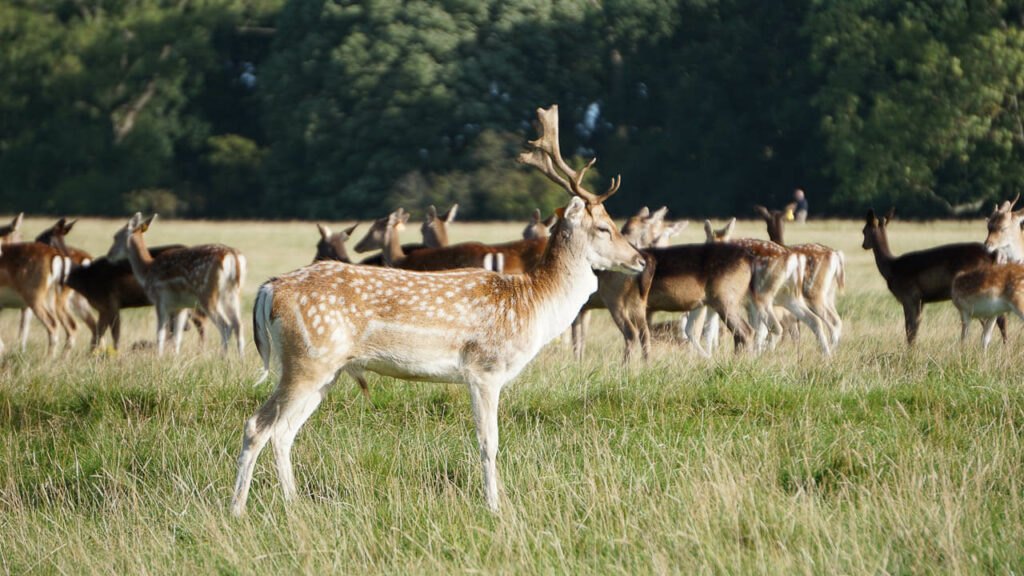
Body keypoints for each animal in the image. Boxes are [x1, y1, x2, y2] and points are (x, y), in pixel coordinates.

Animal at [106, 211, 245, 354]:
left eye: (115, 236)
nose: (109, 254)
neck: (147, 271)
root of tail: (233, 256)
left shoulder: (160, 299)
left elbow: (160, 334)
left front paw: (159, 356)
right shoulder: (181, 306)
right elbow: (177, 337)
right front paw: (174, 356)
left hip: (207, 293)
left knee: (225, 325)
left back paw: (223, 356)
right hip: (233, 293)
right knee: (238, 324)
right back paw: (240, 358)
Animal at [234, 105, 647, 512]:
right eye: (604, 227)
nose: (640, 260)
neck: (533, 303)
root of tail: (268, 290)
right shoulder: (484, 368)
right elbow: (489, 442)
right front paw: (495, 507)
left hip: (326, 369)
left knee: (284, 431)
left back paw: (293, 505)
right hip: (306, 360)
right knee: (258, 425)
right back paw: (237, 508)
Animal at [860, 208, 1003, 342]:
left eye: (864, 230)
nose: (863, 245)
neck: (891, 268)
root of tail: (993, 256)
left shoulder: (909, 296)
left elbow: (910, 329)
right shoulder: (920, 300)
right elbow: (914, 329)